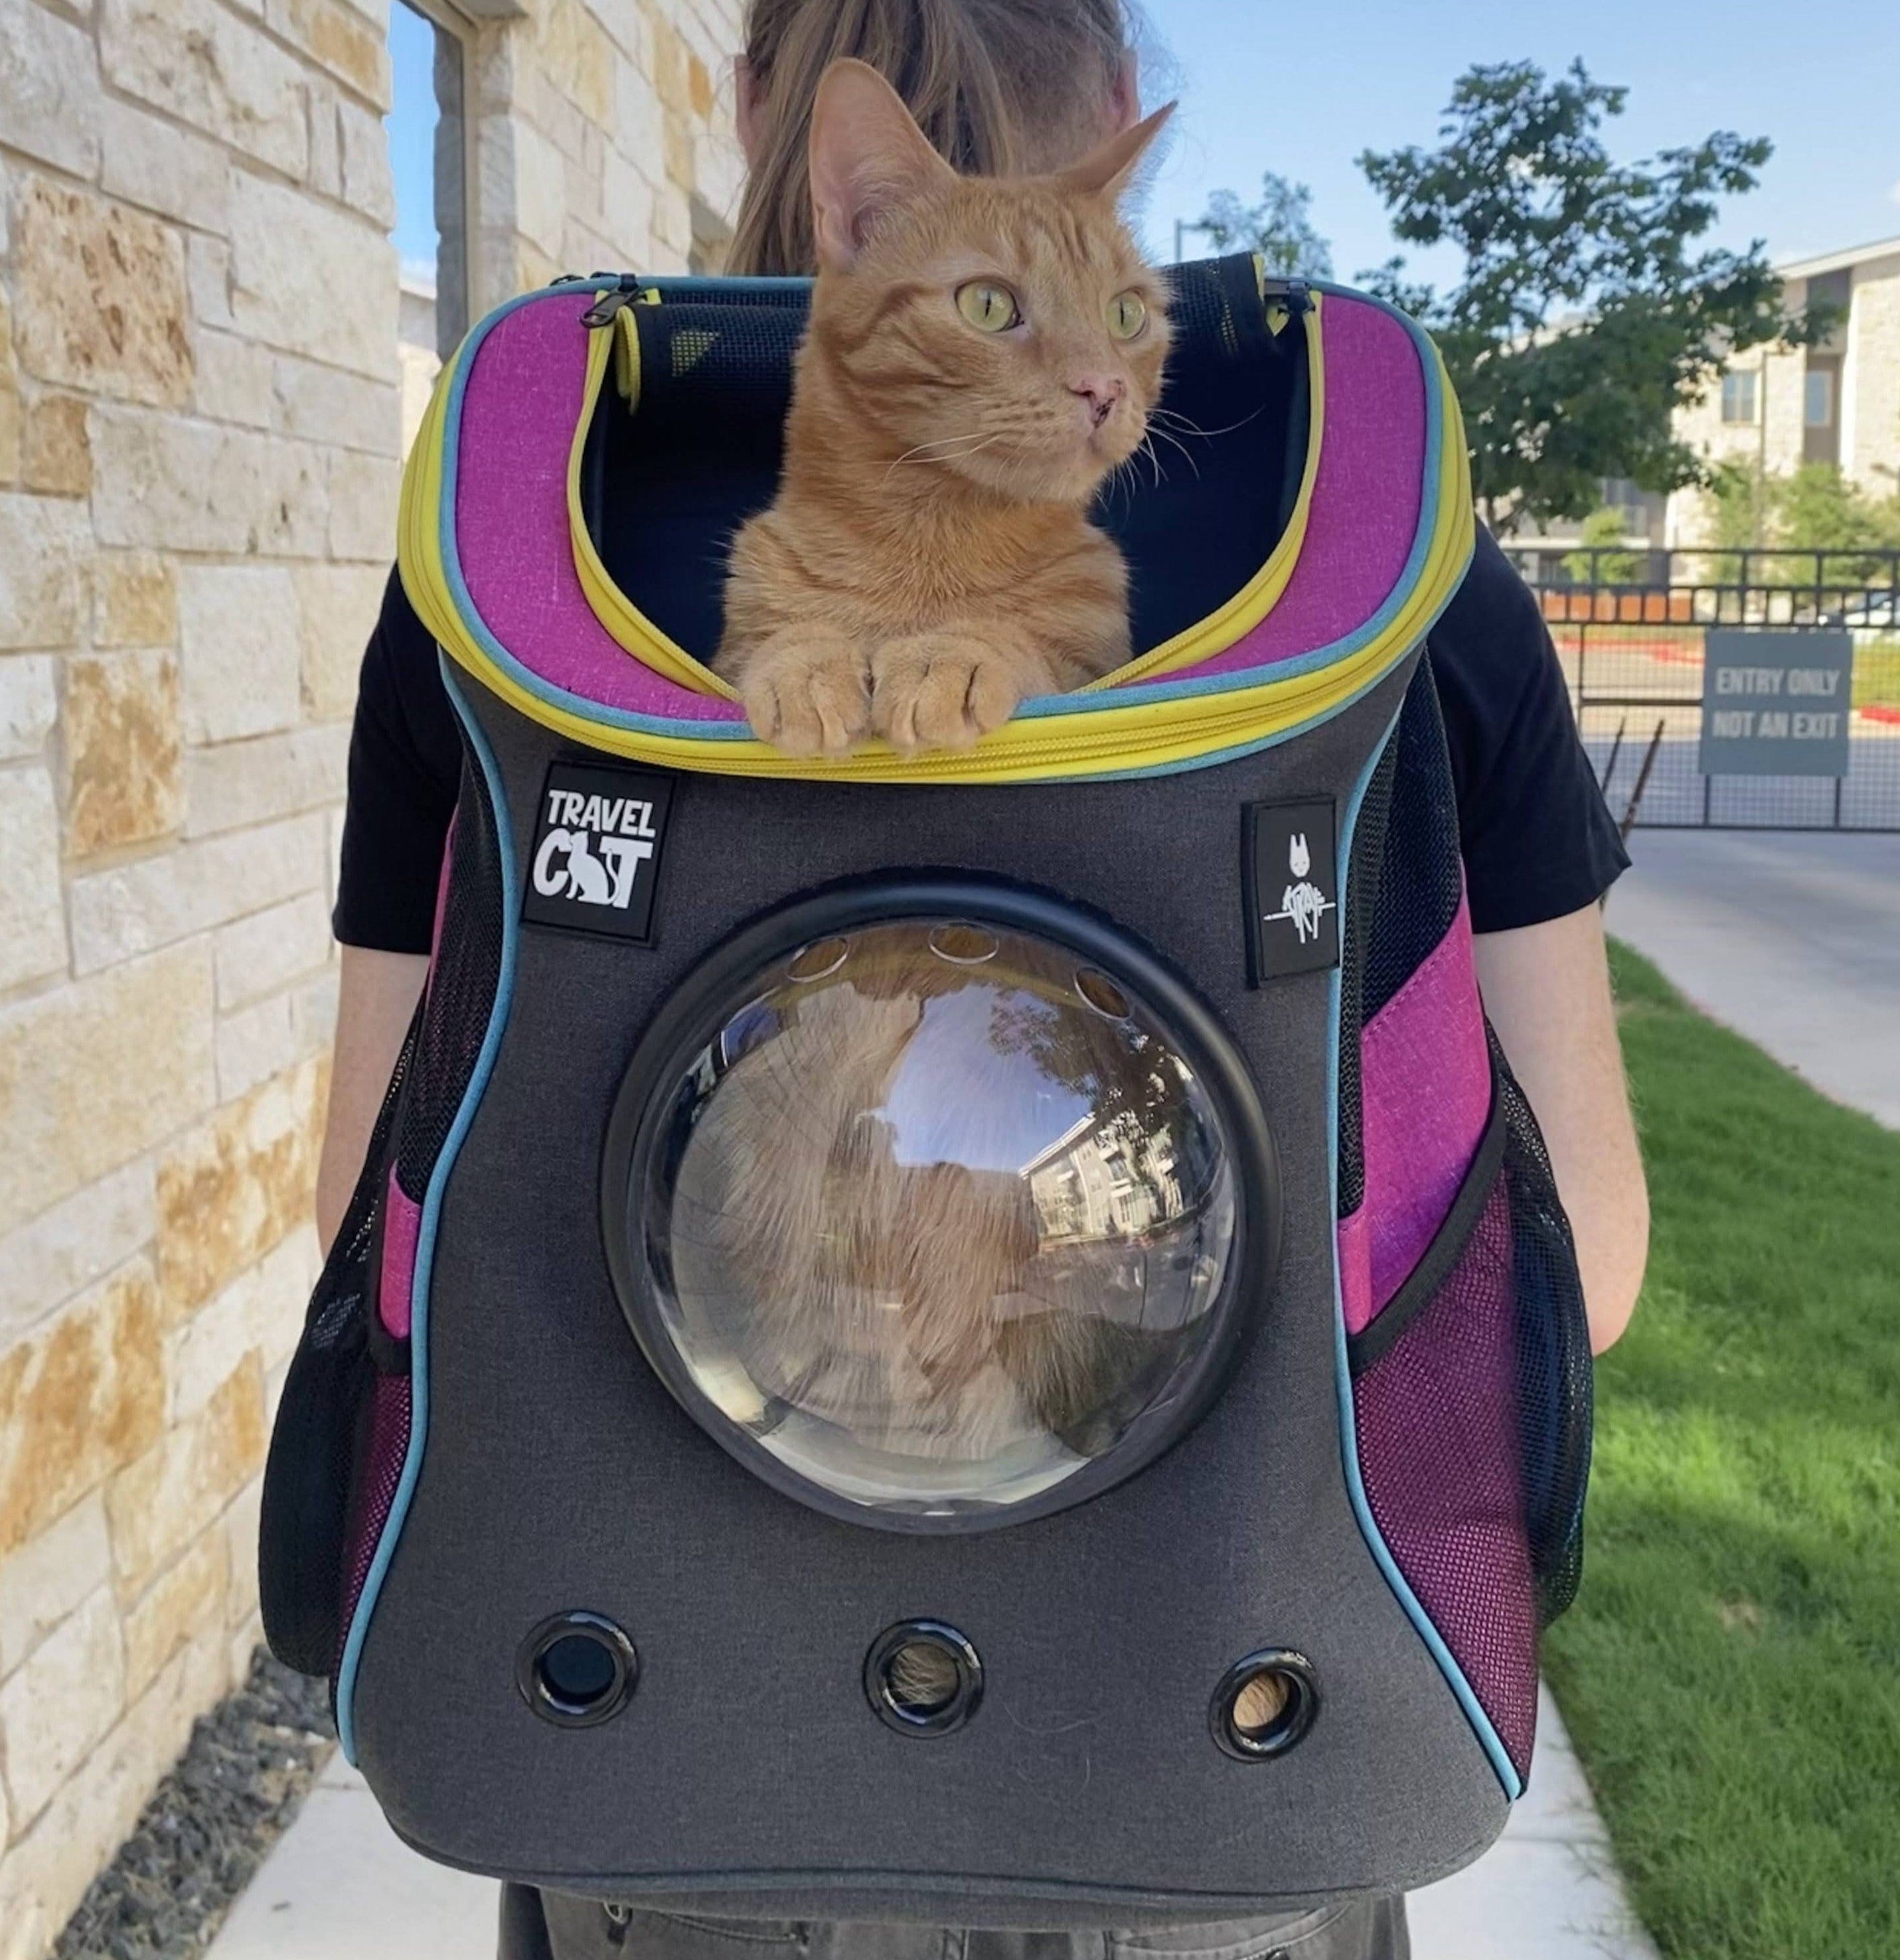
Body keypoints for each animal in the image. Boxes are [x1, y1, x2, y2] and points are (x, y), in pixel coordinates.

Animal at [714, 59, 1168, 749]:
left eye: (1125, 314)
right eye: (988, 304)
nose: (1104, 388)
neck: (930, 539)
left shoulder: (1095, 673)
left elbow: (1028, 650)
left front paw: (954, 653)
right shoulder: (724, 654)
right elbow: (766, 645)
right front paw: (804, 659)